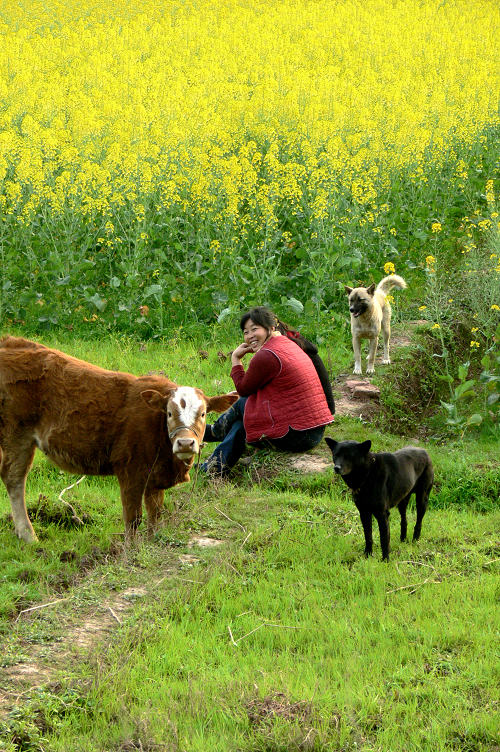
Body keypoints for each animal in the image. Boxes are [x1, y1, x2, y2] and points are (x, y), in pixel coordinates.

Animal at [0, 336, 238, 540]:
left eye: (203, 413)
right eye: (169, 413)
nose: (185, 443)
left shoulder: (155, 477)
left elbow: (155, 515)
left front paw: (153, 542)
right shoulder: (129, 470)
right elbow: (133, 518)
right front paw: (131, 549)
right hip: (16, 435)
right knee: (14, 479)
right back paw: (28, 535)